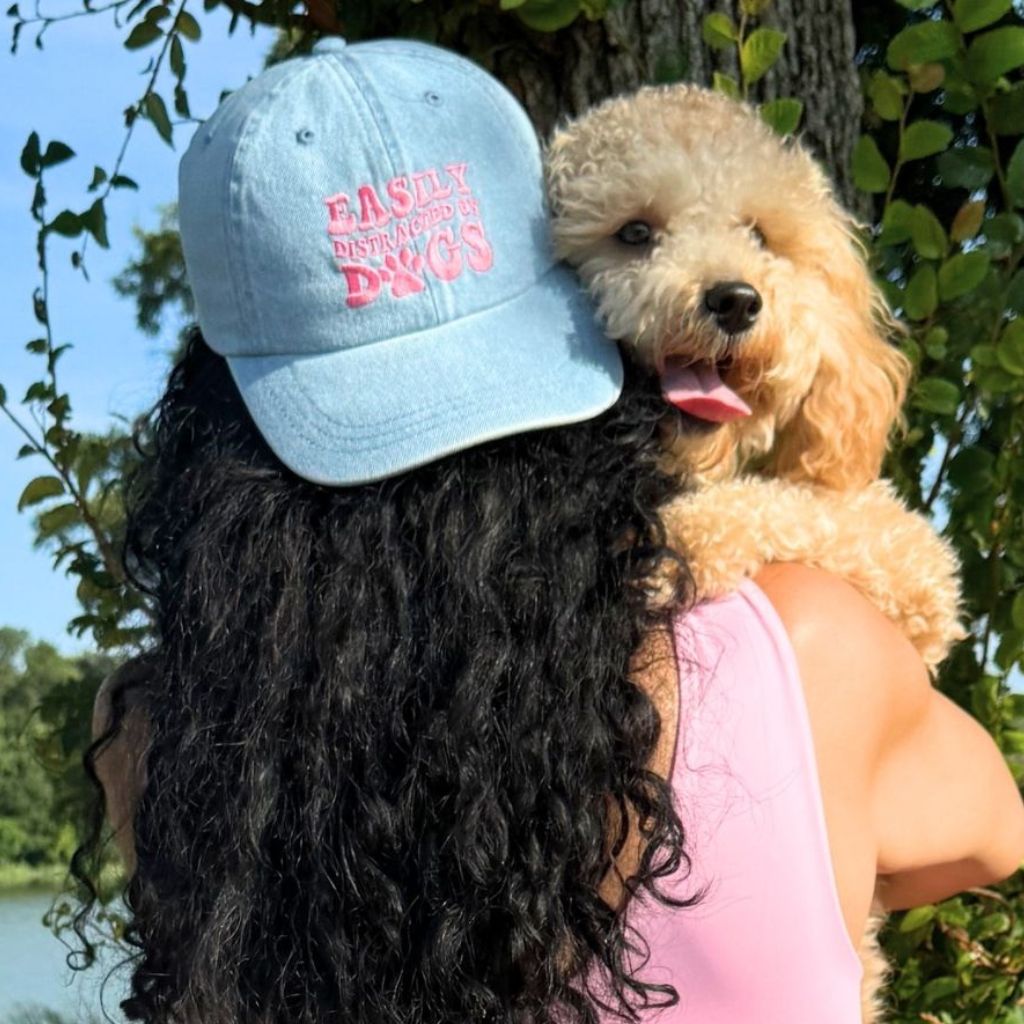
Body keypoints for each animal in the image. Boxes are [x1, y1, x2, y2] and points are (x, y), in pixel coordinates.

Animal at [548, 86, 962, 1024]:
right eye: (635, 232)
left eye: (762, 236)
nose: (735, 299)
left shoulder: (916, 570)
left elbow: (803, 506)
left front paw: (684, 537)